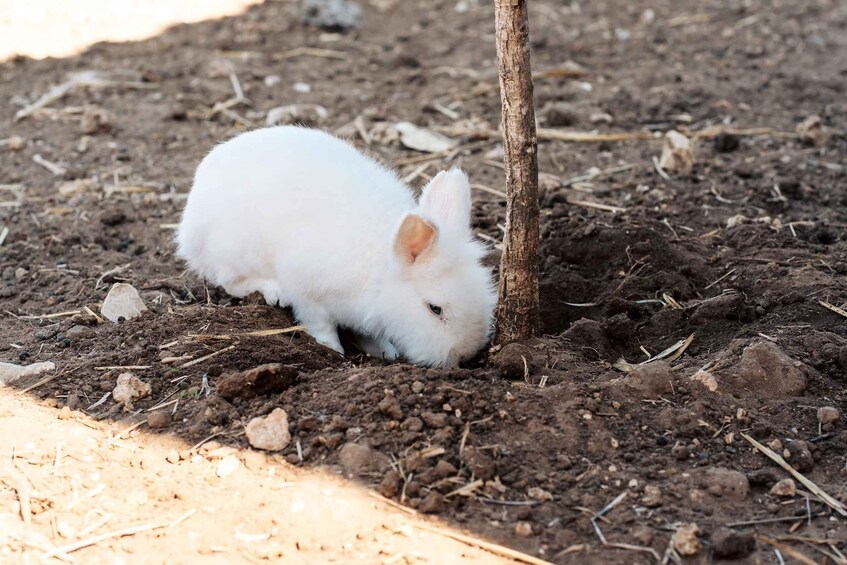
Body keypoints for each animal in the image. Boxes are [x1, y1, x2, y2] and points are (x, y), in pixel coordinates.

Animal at [176, 126, 496, 367]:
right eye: (435, 309)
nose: (465, 354)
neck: (380, 269)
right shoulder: (308, 294)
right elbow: (320, 324)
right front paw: (332, 350)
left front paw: (384, 351)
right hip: (234, 251)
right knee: (230, 281)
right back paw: (272, 292)